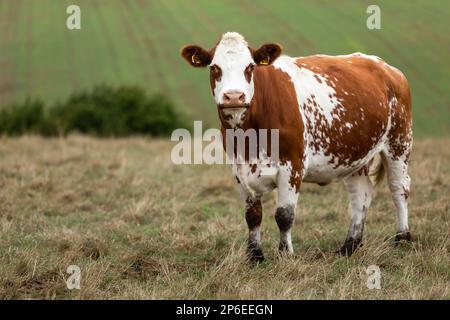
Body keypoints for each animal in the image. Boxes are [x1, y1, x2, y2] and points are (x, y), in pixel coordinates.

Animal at [179, 32, 412, 262]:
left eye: (250, 67)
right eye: (214, 67)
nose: (234, 96)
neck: (249, 139)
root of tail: (386, 67)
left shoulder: (292, 166)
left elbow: (284, 215)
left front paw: (285, 254)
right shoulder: (239, 170)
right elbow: (252, 216)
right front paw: (255, 255)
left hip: (399, 143)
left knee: (399, 188)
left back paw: (402, 238)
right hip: (354, 154)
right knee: (360, 196)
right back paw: (350, 246)